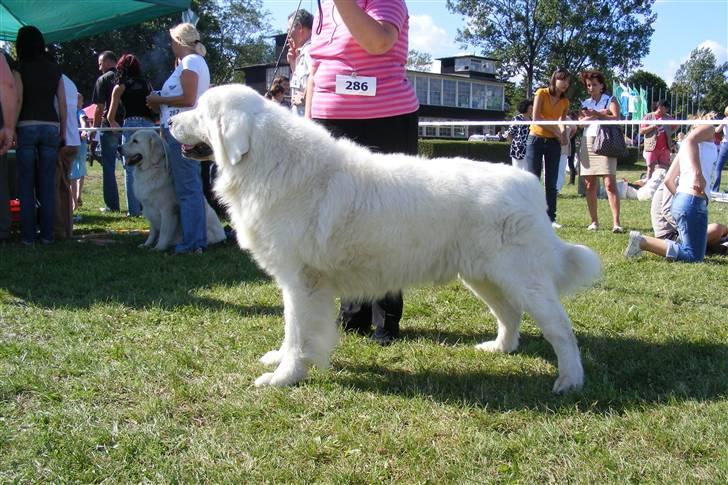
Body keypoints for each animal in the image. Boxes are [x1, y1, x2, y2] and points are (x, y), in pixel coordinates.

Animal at [171, 84, 604, 394]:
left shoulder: (301, 283)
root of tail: (528, 184)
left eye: (201, 112)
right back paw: (499, 348)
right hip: (483, 276)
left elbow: (297, 334)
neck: (269, 163)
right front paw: (282, 362)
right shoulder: (299, 285)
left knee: (561, 330)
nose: (172, 119)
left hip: (524, 280)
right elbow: (294, 332)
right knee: (509, 314)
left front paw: (284, 377)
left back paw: (570, 381)